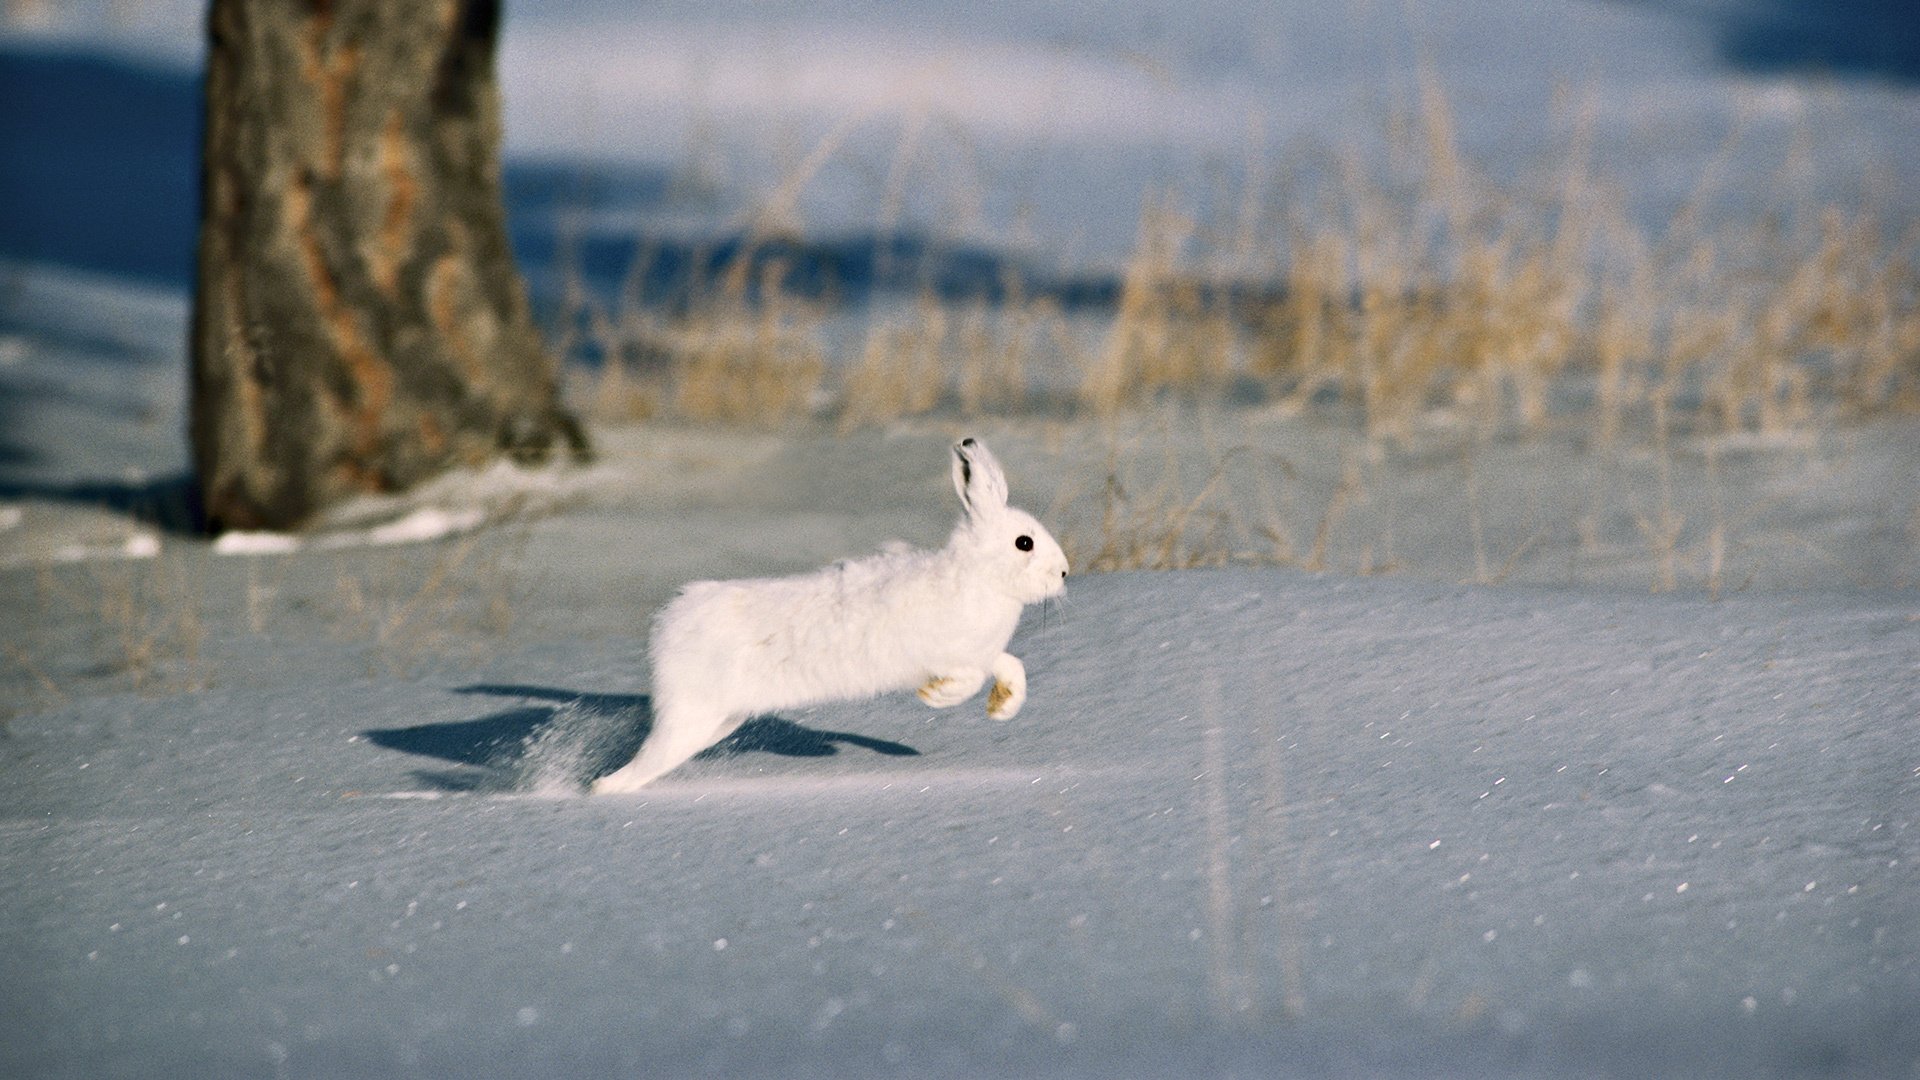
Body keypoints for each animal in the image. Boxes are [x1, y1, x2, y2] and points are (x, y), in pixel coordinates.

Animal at [591, 437, 1068, 793]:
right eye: (1024, 543)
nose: (1064, 572)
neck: (978, 577)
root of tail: (668, 624)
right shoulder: (941, 654)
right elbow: (965, 680)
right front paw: (934, 698)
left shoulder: (984, 654)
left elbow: (1012, 667)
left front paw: (1002, 710)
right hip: (692, 716)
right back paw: (601, 790)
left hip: (719, 720)